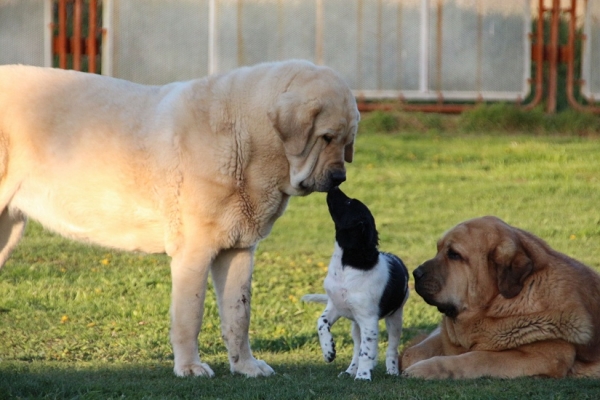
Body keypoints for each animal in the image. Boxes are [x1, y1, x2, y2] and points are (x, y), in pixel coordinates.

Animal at [0, 60, 358, 378]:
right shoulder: (194, 251)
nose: (340, 177)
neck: (247, 136)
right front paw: (189, 367)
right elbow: (190, 314)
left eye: (347, 141)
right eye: (326, 137)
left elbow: (239, 315)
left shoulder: (239, 250)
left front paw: (245, 367)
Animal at [302, 188, 410, 382]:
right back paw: (349, 370)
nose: (334, 187)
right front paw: (329, 352)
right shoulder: (335, 306)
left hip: (395, 318)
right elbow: (321, 323)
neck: (345, 268)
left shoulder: (369, 320)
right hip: (356, 326)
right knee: (356, 348)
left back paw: (391, 371)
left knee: (391, 348)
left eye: (349, 203)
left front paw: (363, 376)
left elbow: (366, 352)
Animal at [400, 217, 600, 380]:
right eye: (438, 249)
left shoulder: (545, 356)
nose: (415, 273)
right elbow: (412, 353)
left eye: (454, 255)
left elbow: (479, 357)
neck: (496, 305)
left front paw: (427, 369)